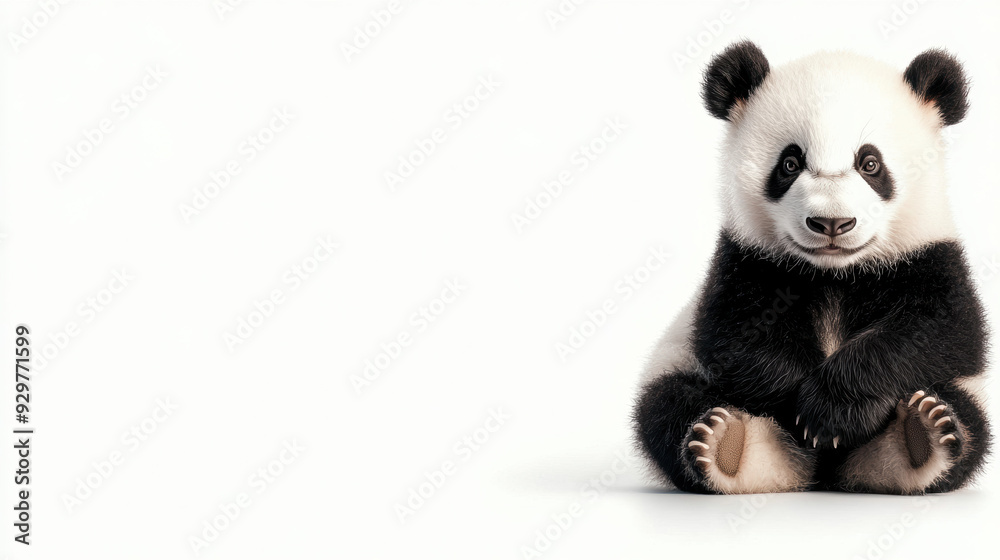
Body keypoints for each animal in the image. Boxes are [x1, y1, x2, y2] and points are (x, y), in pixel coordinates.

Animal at [633, 41, 990, 494]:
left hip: (968, 394)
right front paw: (804, 416)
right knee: (665, 406)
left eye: (870, 164)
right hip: (674, 361)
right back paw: (726, 444)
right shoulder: (746, 260)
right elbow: (738, 334)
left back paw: (922, 433)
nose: (832, 223)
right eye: (790, 163)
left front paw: (832, 413)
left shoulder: (929, 255)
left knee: (969, 418)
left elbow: (942, 332)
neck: (834, 273)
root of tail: (822, 475)